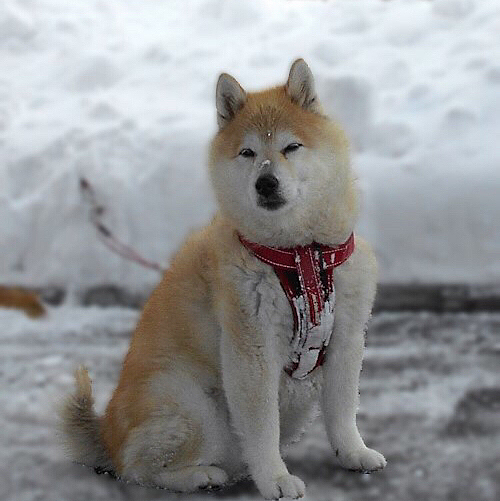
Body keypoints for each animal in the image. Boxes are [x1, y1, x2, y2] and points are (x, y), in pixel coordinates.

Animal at [59, 58, 386, 496]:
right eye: (247, 152)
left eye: (291, 147)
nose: (266, 182)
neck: (301, 255)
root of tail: (105, 435)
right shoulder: (252, 349)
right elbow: (262, 430)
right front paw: (275, 478)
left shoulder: (346, 339)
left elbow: (343, 412)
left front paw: (354, 453)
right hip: (192, 404)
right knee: (139, 468)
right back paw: (201, 476)